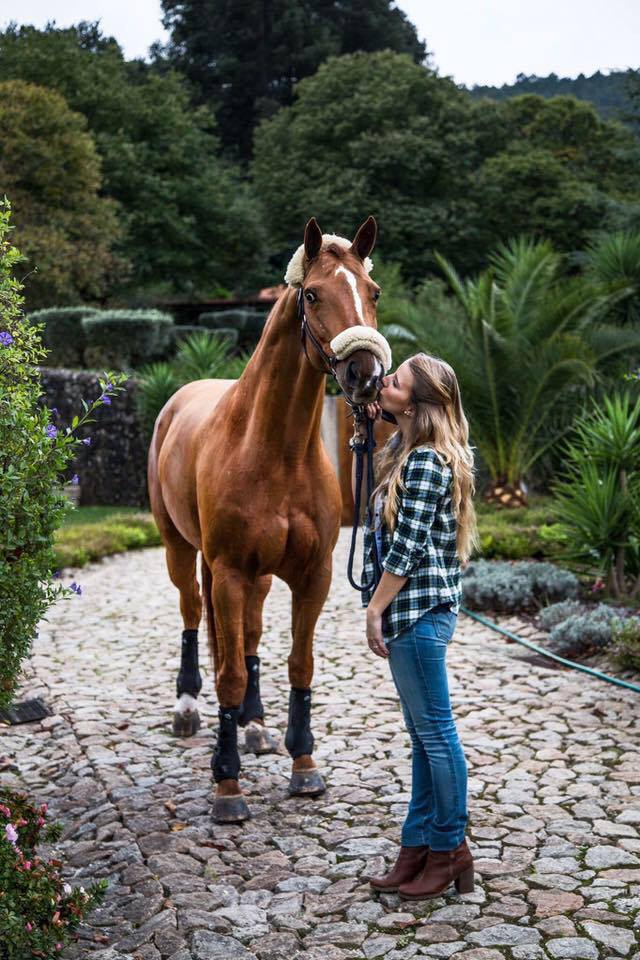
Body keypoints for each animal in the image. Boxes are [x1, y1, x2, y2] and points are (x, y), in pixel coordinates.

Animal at [148, 216, 388, 816]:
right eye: (313, 294)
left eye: (372, 292)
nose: (366, 374)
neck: (273, 450)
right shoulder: (229, 571)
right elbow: (229, 674)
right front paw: (226, 785)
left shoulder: (311, 577)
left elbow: (298, 664)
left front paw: (303, 763)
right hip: (182, 552)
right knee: (193, 617)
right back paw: (188, 710)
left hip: (253, 579)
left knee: (251, 636)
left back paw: (255, 726)